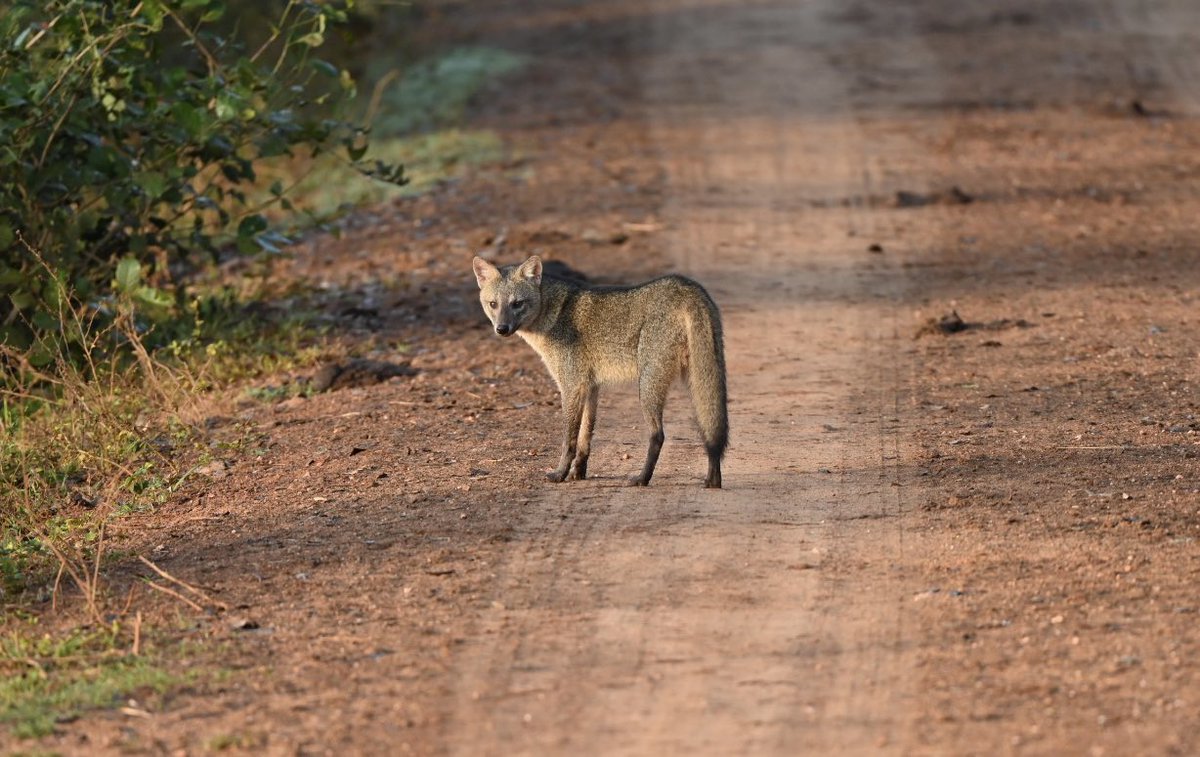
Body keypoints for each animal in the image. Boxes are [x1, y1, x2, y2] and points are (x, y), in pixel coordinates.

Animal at [472, 255, 728, 488]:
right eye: (493, 304)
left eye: (517, 303)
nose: (501, 329)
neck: (554, 312)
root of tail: (684, 285)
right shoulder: (591, 387)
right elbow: (585, 438)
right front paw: (578, 473)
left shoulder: (571, 386)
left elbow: (569, 440)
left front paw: (560, 473)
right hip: (699, 380)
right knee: (710, 428)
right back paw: (713, 480)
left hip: (648, 386)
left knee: (659, 435)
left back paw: (642, 478)